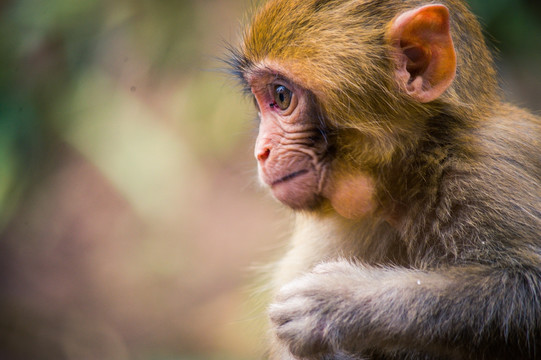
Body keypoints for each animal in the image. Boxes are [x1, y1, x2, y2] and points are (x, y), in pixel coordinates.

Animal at [226, 0, 536, 358]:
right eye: (260, 101)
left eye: (280, 95)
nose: (259, 152)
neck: (408, 177)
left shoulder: (486, 170)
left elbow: (524, 289)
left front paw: (336, 302)